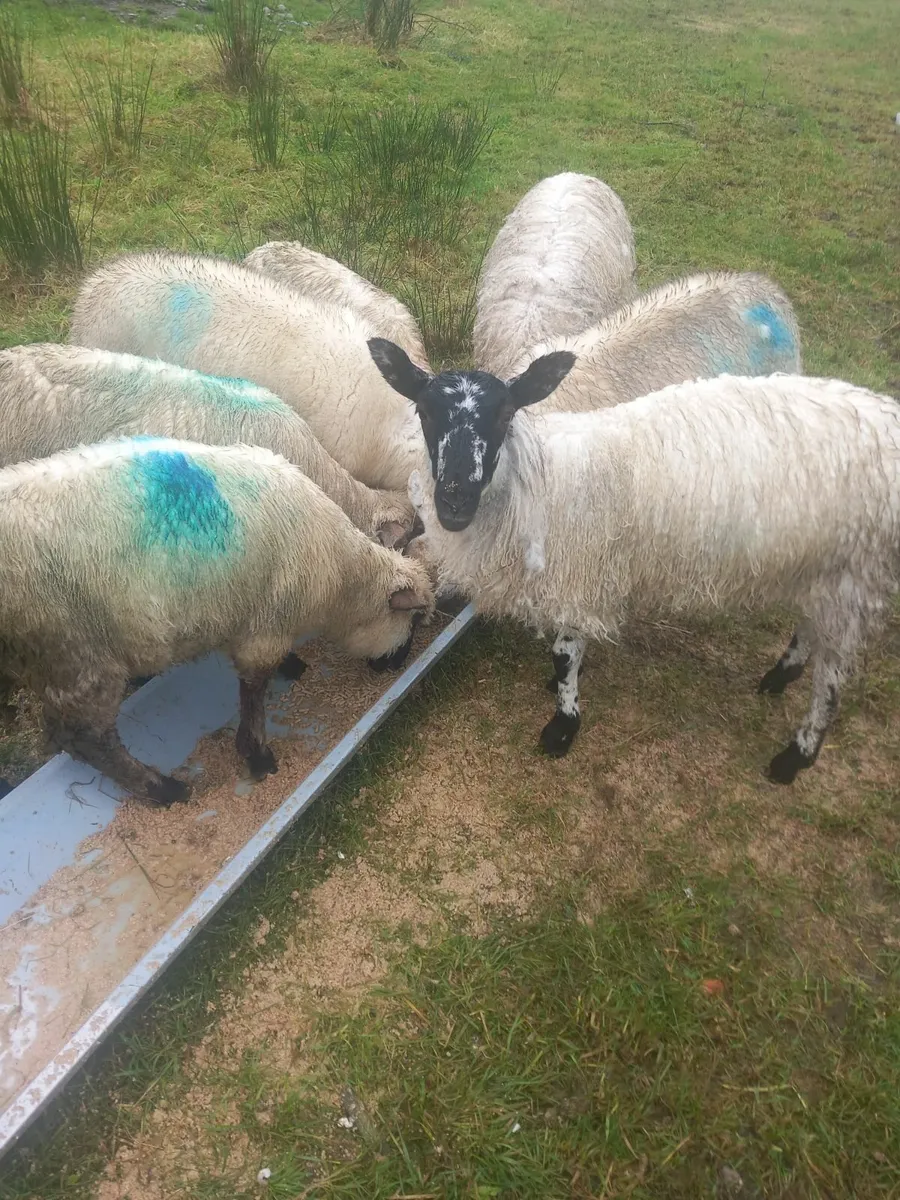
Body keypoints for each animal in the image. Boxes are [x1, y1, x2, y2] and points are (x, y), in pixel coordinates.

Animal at [0, 436, 434, 806]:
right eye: (412, 621)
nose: (395, 666)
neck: (343, 577)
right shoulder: (266, 628)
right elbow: (253, 692)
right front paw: (258, 757)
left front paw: (291, 668)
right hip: (74, 653)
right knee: (83, 736)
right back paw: (164, 789)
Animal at [370, 341, 900, 782]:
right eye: (424, 412)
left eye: (504, 417)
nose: (454, 502)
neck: (542, 484)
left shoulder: (580, 575)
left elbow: (565, 653)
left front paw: (562, 725)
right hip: (826, 566)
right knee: (812, 629)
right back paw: (779, 677)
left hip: (857, 570)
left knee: (832, 678)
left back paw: (795, 757)